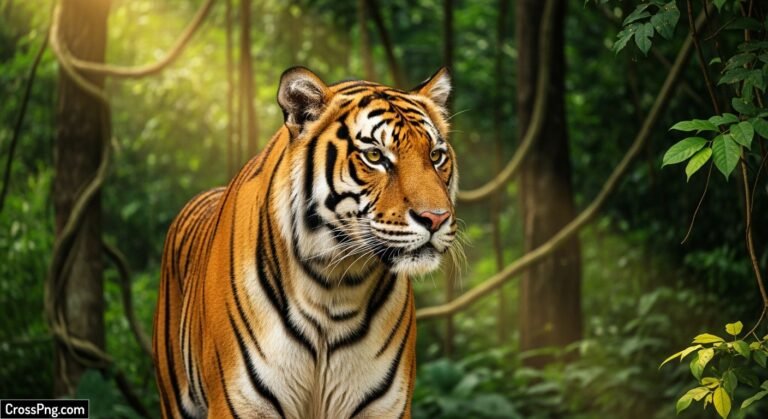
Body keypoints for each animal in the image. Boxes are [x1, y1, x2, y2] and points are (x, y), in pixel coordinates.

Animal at [153, 66, 458, 419]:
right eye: (374, 156)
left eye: (436, 155)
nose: (435, 218)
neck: (336, 288)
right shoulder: (240, 405)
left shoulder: (384, 407)